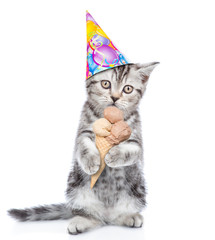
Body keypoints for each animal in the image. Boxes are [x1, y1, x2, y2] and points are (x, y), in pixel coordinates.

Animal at [8, 62, 159, 234]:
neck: (110, 121)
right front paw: (91, 161)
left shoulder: (136, 141)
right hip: (75, 187)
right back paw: (82, 220)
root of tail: (107, 213)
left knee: (117, 216)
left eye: (128, 89)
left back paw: (129, 216)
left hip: (137, 190)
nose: (115, 97)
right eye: (105, 84)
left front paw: (113, 155)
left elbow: (133, 150)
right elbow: (83, 144)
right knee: (91, 216)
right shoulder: (83, 131)